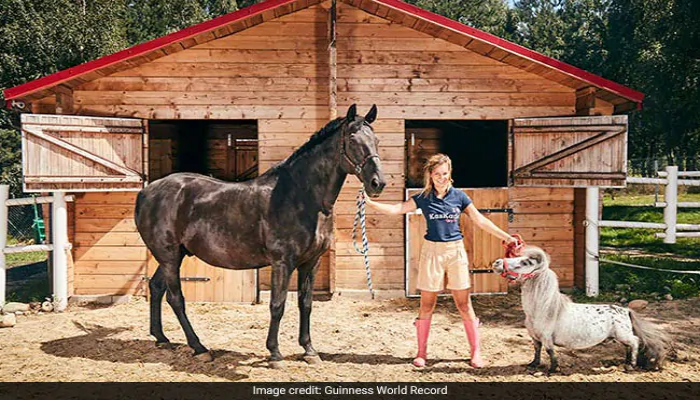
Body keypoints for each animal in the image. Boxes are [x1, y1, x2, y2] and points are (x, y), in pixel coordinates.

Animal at [134, 104, 386, 368]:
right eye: (352, 139)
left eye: (376, 140)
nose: (377, 183)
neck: (300, 196)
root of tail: (146, 192)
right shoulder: (282, 262)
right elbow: (277, 304)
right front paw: (275, 353)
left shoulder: (311, 262)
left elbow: (305, 304)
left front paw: (309, 350)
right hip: (169, 255)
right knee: (175, 298)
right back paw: (199, 347)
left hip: (174, 255)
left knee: (156, 287)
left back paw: (162, 338)